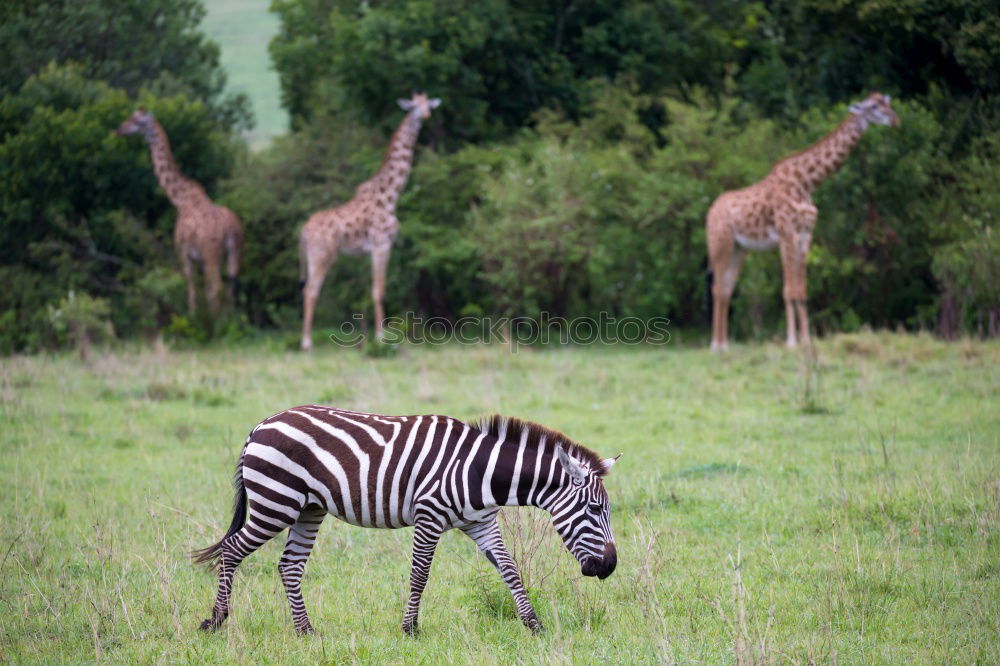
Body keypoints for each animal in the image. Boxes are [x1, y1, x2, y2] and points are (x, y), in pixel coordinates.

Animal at [114, 107, 244, 316]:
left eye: (137, 121)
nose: (119, 129)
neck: (180, 200)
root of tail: (231, 230)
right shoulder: (198, 260)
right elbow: (203, 292)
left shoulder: (184, 254)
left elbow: (192, 292)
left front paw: (192, 318)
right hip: (236, 253)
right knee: (231, 289)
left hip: (212, 254)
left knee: (217, 288)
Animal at [191, 404, 620, 632]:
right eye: (595, 510)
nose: (610, 567)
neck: (479, 471)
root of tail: (261, 424)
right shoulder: (428, 516)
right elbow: (420, 574)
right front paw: (410, 628)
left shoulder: (481, 523)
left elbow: (511, 570)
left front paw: (533, 625)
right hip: (275, 502)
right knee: (231, 550)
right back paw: (216, 620)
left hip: (308, 508)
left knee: (289, 566)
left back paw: (306, 632)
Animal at [296, 95, 438, 352]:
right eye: (413, 107)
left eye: (428, 104)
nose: (426, 115)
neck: (391, 195)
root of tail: (303, 231)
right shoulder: (382, 244)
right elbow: (379, 291)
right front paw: (382, 339)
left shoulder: (372, 249)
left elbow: (372, 290)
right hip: (322, 254)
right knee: (311, 290)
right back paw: (307, 343)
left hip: (313, 256)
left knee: (307, 290)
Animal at [704, 94, 900, 352]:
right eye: (874, 107)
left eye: (887, 103)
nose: (895, 120)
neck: (807, 183)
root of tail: (710, 212)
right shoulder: (787, 234)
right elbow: (789, 290)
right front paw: (791, 341)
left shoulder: (806, 235)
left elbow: (802, 290)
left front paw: (806, 339)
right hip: (721, 244)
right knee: (717, 289)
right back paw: (715, 346)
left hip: (739, 249)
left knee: (726, 289)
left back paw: (725, 344)